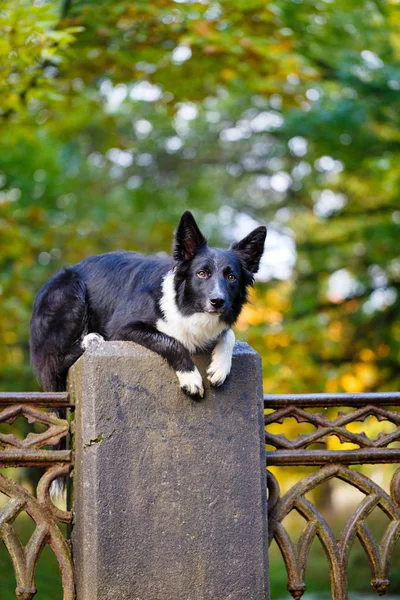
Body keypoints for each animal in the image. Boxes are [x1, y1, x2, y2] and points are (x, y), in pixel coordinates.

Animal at [30, 211, 266, 398]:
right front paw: (190, 378)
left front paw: (220, 367)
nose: (218, 302)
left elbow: (228, 333)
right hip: (71, 291)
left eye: (232, 277)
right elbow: (171, 341)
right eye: (202, 273)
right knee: (55, 362)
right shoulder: (122, 328)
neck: (185, 306)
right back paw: (91, 340)